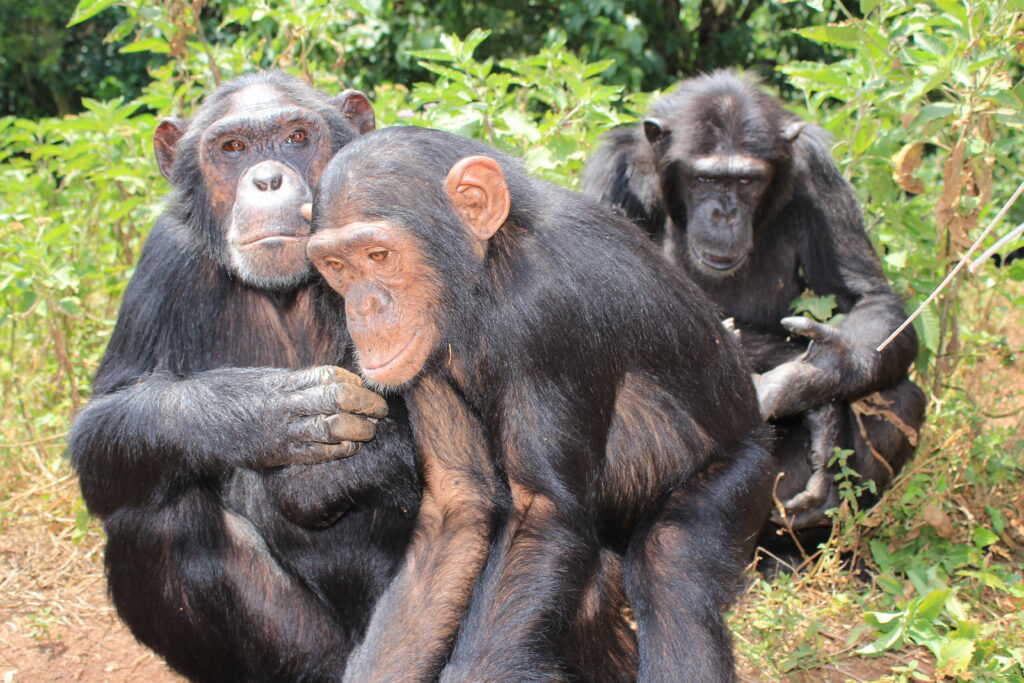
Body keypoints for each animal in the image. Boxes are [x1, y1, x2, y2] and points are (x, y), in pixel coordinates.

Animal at [307, 124, 770, 683]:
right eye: (336, 266)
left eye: (378, 256)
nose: (363, 306)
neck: (485, 275)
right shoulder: (422, 364)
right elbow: (460, 504)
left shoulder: (545, 311)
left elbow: (541, 512)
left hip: (746, 474)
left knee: (671, 566)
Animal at [585, 69, 929, 540]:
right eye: (706, 179)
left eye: (747, 181)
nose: (724, 213)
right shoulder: (613, 170)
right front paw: (822, 413)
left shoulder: (818, 172)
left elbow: (866, 296)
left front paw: (814, 378)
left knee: (898, 397)